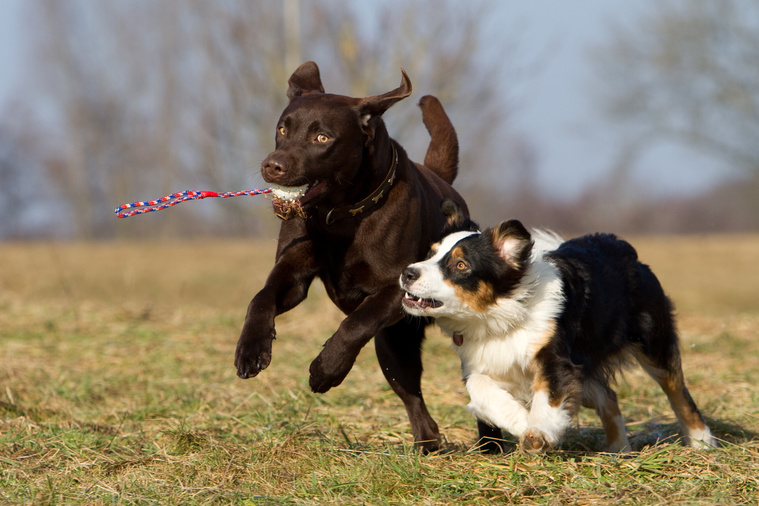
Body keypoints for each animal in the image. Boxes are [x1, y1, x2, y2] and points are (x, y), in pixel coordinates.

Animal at [235, 61, 466, 452]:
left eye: (322, 138)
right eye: (283, 129)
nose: (272, 166)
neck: (340, 215)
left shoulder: (396, 287)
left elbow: (356, 323)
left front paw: (326, 368)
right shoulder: (293, 273)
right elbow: (261, 298)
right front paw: (251, 349)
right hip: (394, 348)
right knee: (413, 398)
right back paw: (428, 445)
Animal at [400, 204, 716, 452]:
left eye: (461, 265)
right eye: (429, 254)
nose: (407, 272)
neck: (502, 317)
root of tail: (625, 249)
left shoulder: (556, 358)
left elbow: (548, 396)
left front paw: (538, 432)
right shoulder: (481, 361)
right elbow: (479, 387)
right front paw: (519, 420)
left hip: (651, 343)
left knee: (678, 392)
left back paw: (702, 442)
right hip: (586, 368)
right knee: (609, 397)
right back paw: (618, 449)